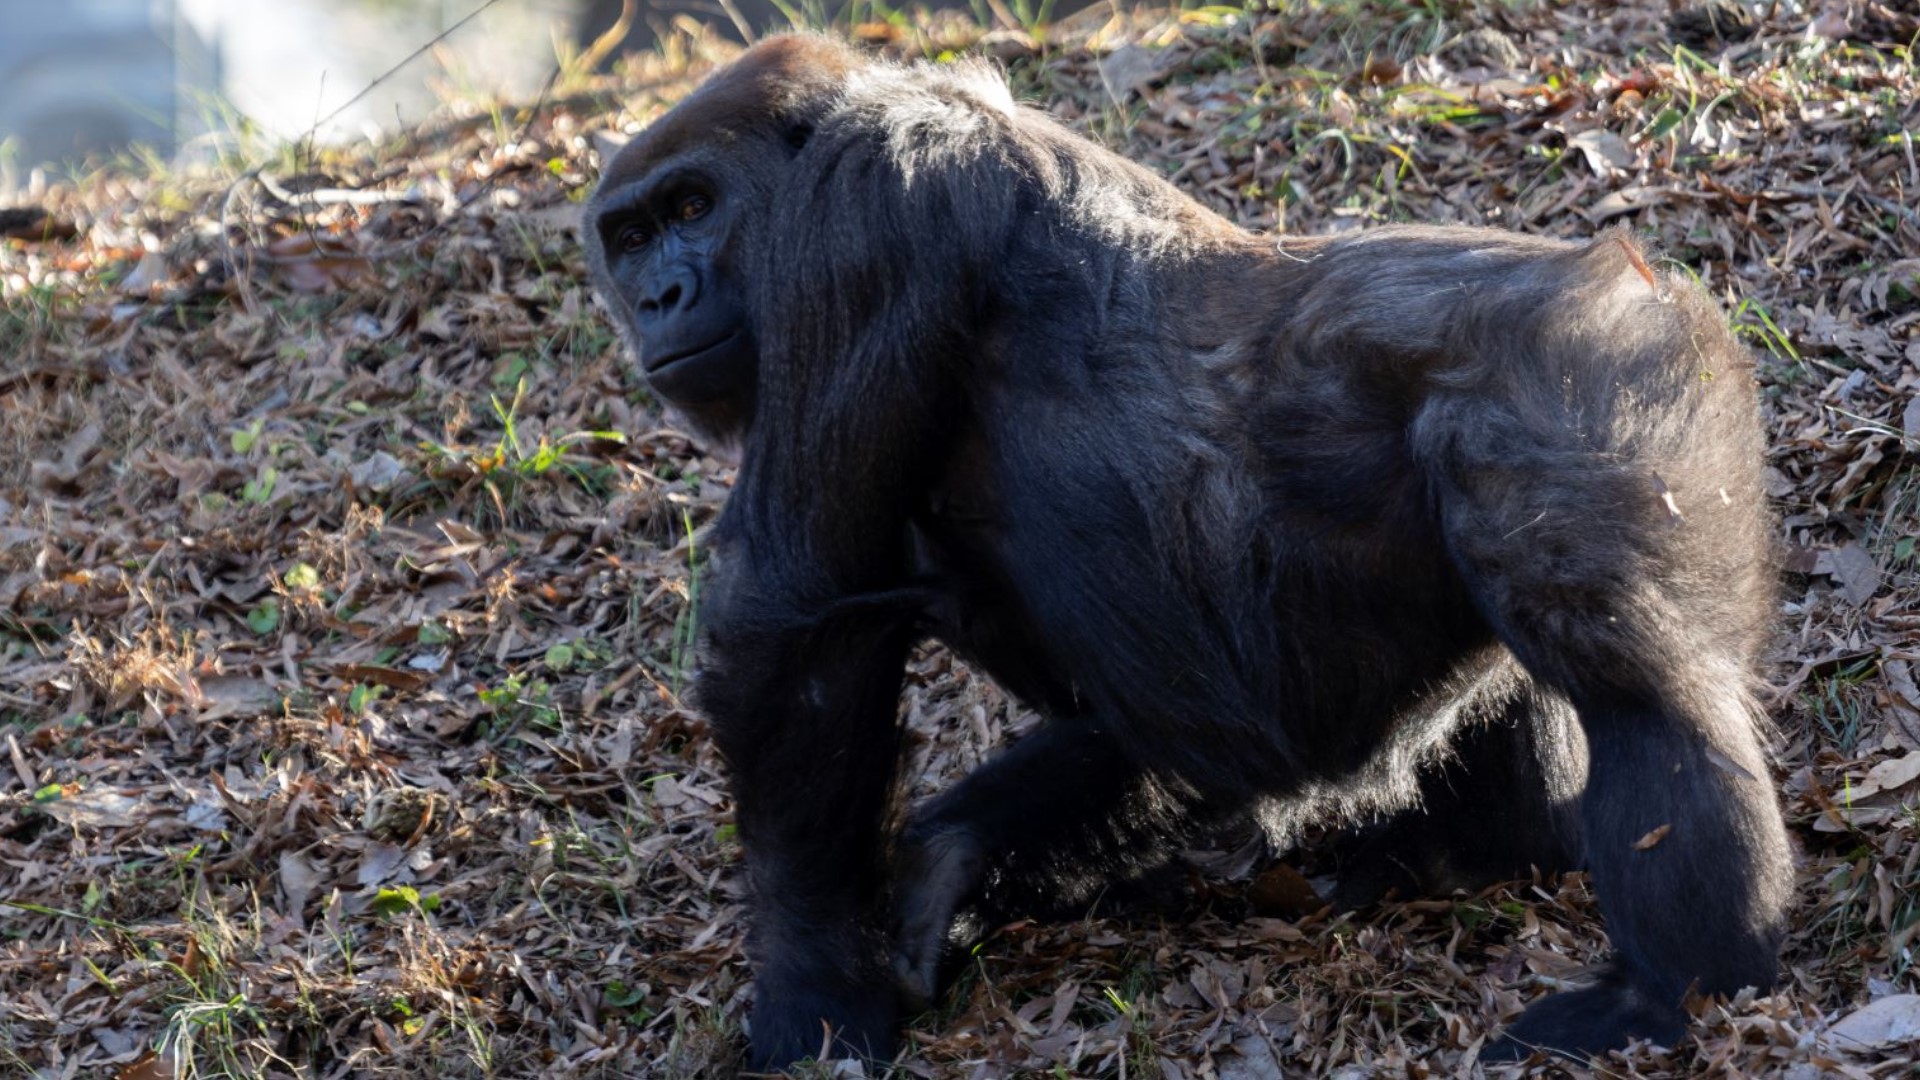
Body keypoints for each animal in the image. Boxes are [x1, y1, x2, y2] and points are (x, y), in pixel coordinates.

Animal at [576, 33, 1789, 1068]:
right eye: (629, 238)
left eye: (694, 206)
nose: (658, 295)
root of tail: (1645, 280)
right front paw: (960, 852)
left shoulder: (866, 204)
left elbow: (795, 611)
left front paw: (814, 985)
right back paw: (1479, 848)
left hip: (1593, 382)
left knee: (1631, 672)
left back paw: (1676, 986)